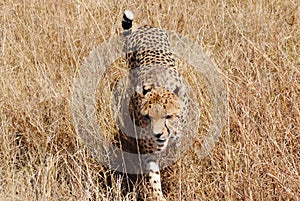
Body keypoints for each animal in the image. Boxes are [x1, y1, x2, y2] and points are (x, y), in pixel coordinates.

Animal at [116, 9, 188, 201]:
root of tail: (144, 26)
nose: (157, 134)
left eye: (168, 116)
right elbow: (154, 178)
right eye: (148, 117)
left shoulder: (177, 142)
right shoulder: (150, 153)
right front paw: (158, 195)